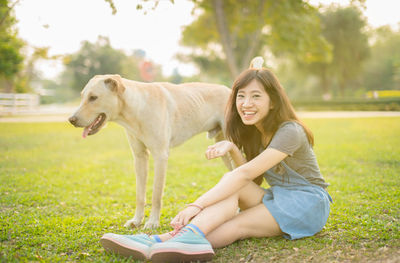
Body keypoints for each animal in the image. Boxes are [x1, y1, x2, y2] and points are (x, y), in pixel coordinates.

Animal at [69, 74, 231, 229]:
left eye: (93, 97)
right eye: (82, 96)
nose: (71, 120)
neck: (136, 110)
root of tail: (230, 89)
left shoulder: (160, 157)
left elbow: (156, 195)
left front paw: (153, 222)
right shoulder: (140, 157)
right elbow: (140, 195)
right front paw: (137, 220)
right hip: (222, 149)